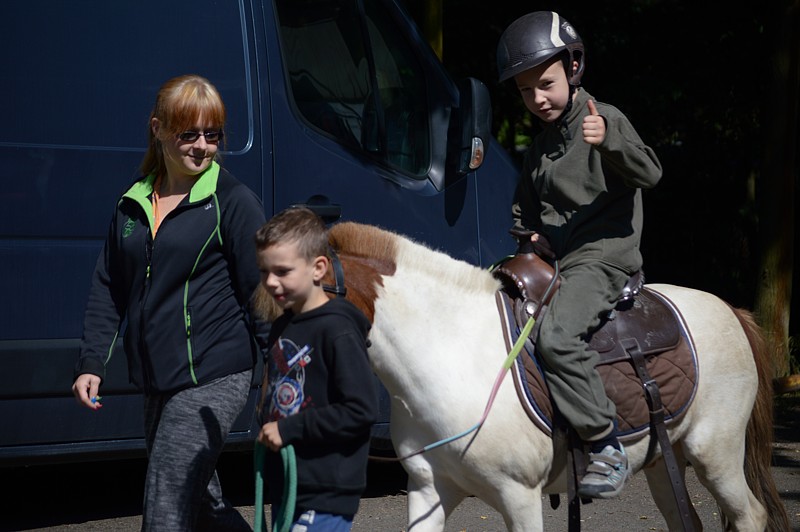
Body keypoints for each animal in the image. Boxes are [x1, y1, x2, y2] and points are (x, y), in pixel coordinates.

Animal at [255, 221, 788, 532]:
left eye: (291, 302)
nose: (272, 400)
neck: (448, 353)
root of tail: (731, 309)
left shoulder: (520, 496)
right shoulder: (428, 489)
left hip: (715, 454)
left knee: (750, 514)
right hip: (663, 461)